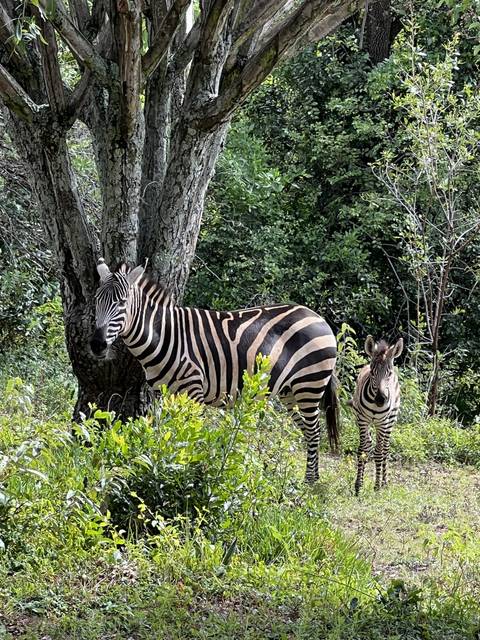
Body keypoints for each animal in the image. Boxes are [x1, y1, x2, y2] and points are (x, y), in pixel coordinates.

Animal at [90, 259, 339, 483]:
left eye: (122, 303)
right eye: (96, 301)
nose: (97, 345)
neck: (165, 335)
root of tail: (318, 317)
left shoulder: (194, 391)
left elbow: (192, 434)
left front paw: (188, 471)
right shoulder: (164, 393)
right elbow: (167, 430)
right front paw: (162, 465)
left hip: (309, 383)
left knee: (315, 430)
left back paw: (309, 483)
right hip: (290, 391)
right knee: (307, 429)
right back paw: (312, 478)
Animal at [352, 335, 403, 496]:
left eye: (389, 373)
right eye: (372, 372)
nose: (381, 400)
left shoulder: (382, 423)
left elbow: (379, 453)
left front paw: (377, 486)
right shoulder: (362, 420)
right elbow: (362, 450)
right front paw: (358, 485)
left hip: (390, 421)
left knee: (385, 448)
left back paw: (384, 482)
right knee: (368, 445)